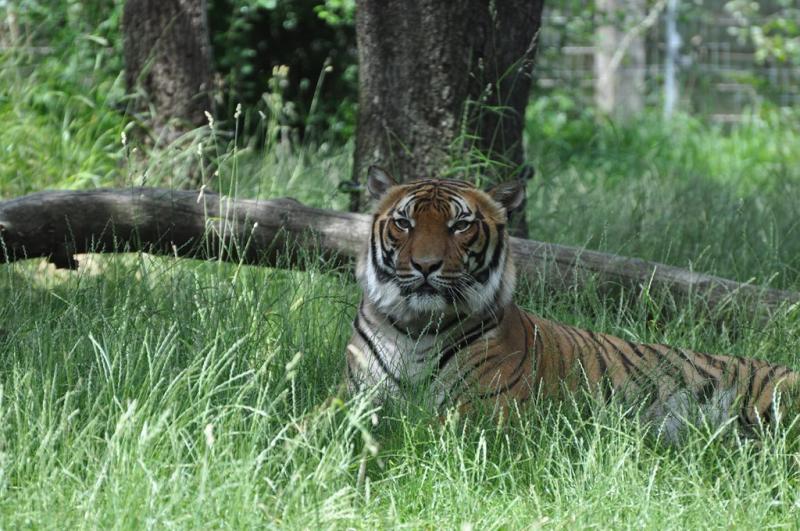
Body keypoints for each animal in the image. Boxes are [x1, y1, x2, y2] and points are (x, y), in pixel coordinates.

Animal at [344, 165, 800, 441]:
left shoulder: (488, 413)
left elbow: (420, 426)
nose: (425, 266)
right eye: (404, 223)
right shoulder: (356, 395)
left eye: (460, 226)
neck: (416, 328)